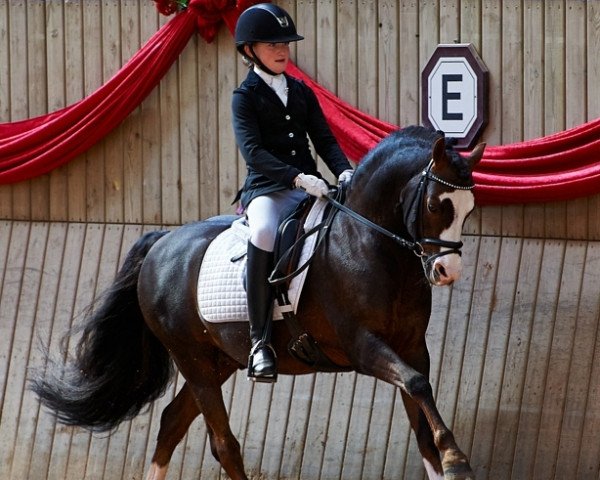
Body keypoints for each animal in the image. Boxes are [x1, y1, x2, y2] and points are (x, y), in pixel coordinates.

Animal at [31, 125, 482, 478]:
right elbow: (417, 384)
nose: (447, 271)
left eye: (470, 209)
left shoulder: (411, 347)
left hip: (219, 361)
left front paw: (446, 457)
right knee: (223, 444)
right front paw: (457, 458)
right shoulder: (363, 346)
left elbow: (422, 423)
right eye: (434, 204)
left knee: (172, 423)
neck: (370, 244)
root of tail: (163, 242)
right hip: (192, 359)